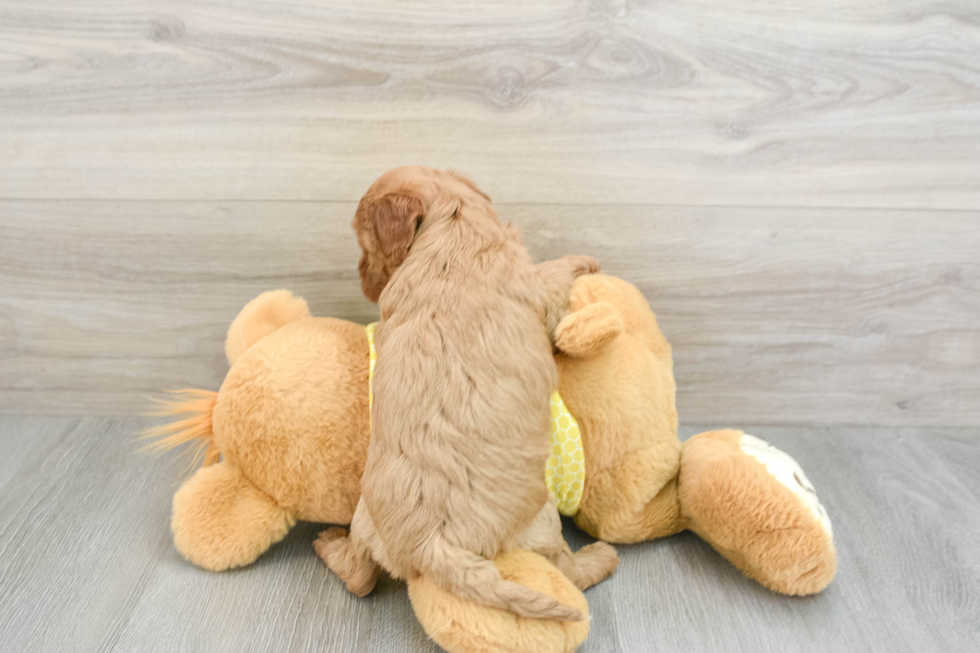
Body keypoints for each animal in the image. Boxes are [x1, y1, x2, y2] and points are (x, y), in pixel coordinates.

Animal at [318, 166, 616, 620]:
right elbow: (554, 276)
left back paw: (328, 543)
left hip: (365, 519)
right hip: (541, 519)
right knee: (567, 570)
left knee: (359, 578)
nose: (364, 280)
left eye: (367, 248)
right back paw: (599, 559)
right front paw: (584, 262)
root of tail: (431, 548)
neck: (451, 224)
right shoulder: (535, 285)